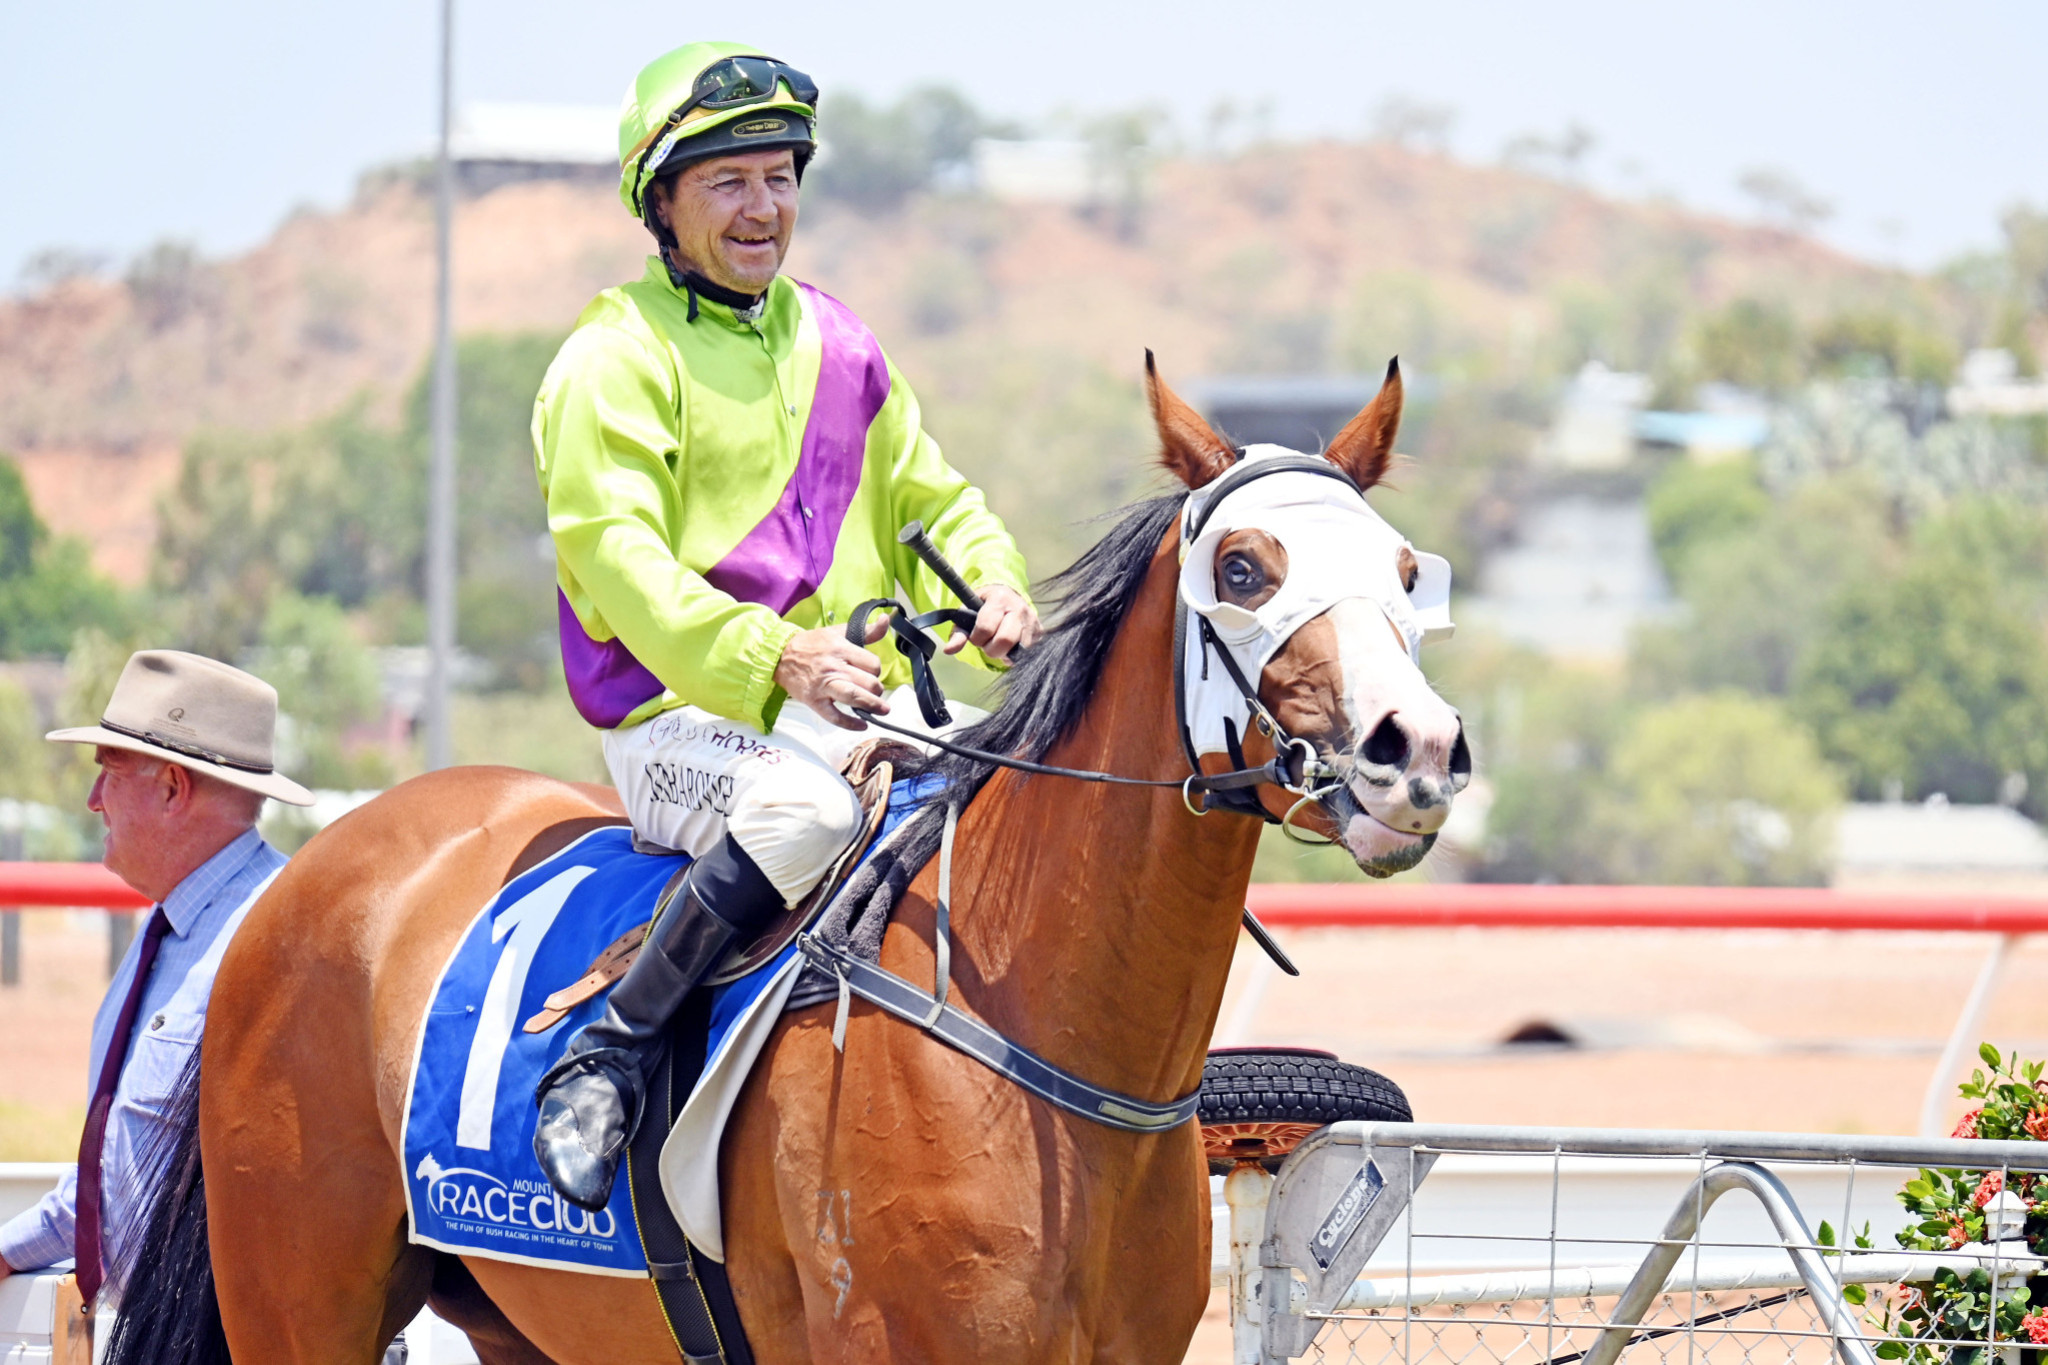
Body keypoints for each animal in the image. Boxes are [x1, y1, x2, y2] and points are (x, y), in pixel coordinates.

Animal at [116, 358, 1474, 1358]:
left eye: (1407, 572)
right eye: (1241, 569)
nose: (1415, 750)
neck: (1038, 1035)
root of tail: (313, 869)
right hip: (300, 1300)